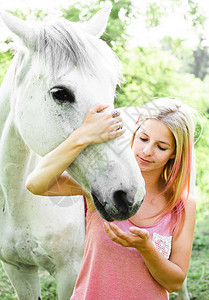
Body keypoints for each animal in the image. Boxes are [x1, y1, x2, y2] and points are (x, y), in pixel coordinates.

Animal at [0, 8, 145, 298]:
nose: (130, 195)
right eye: (61, 93)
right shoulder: (17, 269)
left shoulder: (70, 271)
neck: (17, 199)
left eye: (112, 87)